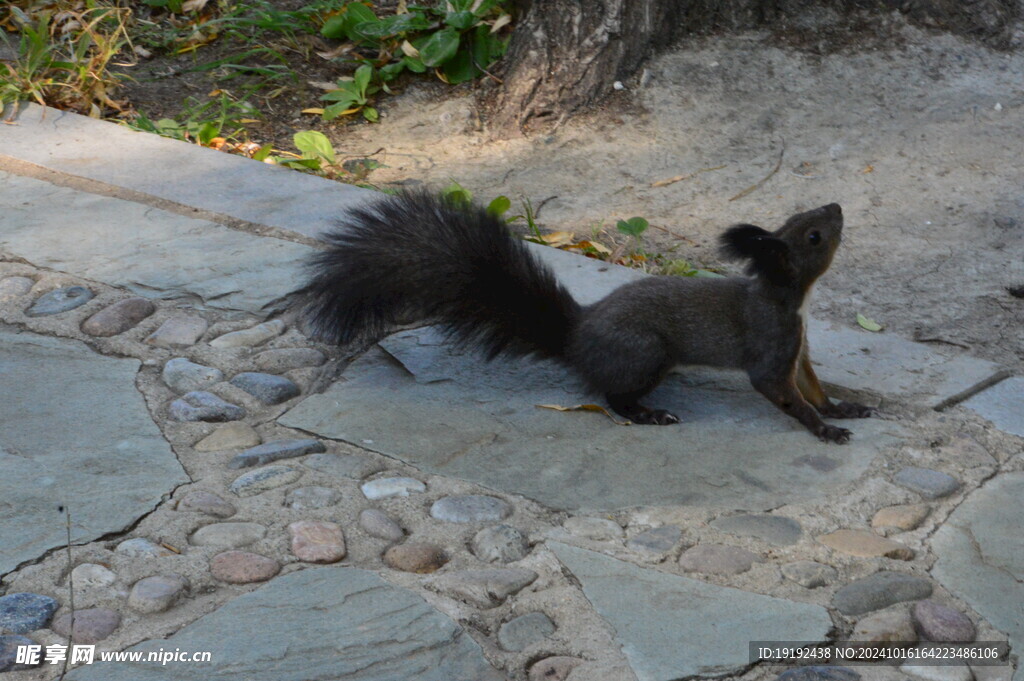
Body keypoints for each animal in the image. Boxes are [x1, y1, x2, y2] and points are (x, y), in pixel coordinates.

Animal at [299, 189, 876, 440]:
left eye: (805, 218)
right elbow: (785, 395)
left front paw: (844, 408)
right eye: (814, 235)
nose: (837, 208)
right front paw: (825, 429)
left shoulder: (800, 349)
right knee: (612, 396)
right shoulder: (770, 346)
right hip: (645, 352)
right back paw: (649, 414)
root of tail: (577, 336)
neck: (792, 298)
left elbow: (813, 386)